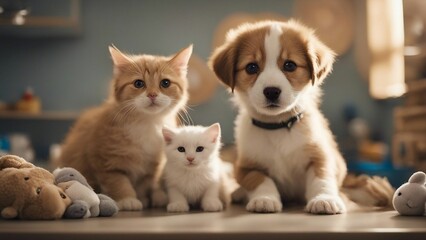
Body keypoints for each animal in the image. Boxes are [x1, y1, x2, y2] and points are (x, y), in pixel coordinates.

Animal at [57, 45, 191, 210]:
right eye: (139, 83)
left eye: (165, 83)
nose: (152, 94)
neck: (146, 122)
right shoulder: (105, 161)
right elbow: (118, 182)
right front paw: (128, 198)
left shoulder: (151, 166)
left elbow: (145, 183)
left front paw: (142, 197)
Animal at [210, 20, 392, 215]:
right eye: (251, 67)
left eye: (290, 65)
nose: (272, 92)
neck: (278, 126)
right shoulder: (246, 167)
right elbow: (261, 180)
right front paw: (265, 199)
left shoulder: (320, 156)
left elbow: (321, 179)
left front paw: (324, 200)